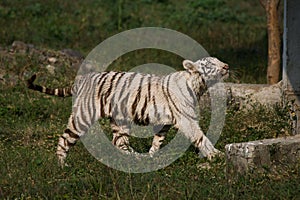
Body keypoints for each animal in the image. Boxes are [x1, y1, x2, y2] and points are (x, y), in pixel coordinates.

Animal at [27, 57, 230, 166]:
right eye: (210, 64)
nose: (226, 66)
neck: (199, 86)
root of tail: (83, 79)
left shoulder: (165, 121)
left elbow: (158, 140)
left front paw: (152, 156)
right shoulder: (186, 119)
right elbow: (200, 136)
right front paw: (215, 155)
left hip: (120, 121)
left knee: (119, 142)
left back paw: (134, 159)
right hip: (83, 116)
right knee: (65, 138)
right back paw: (63, 165)